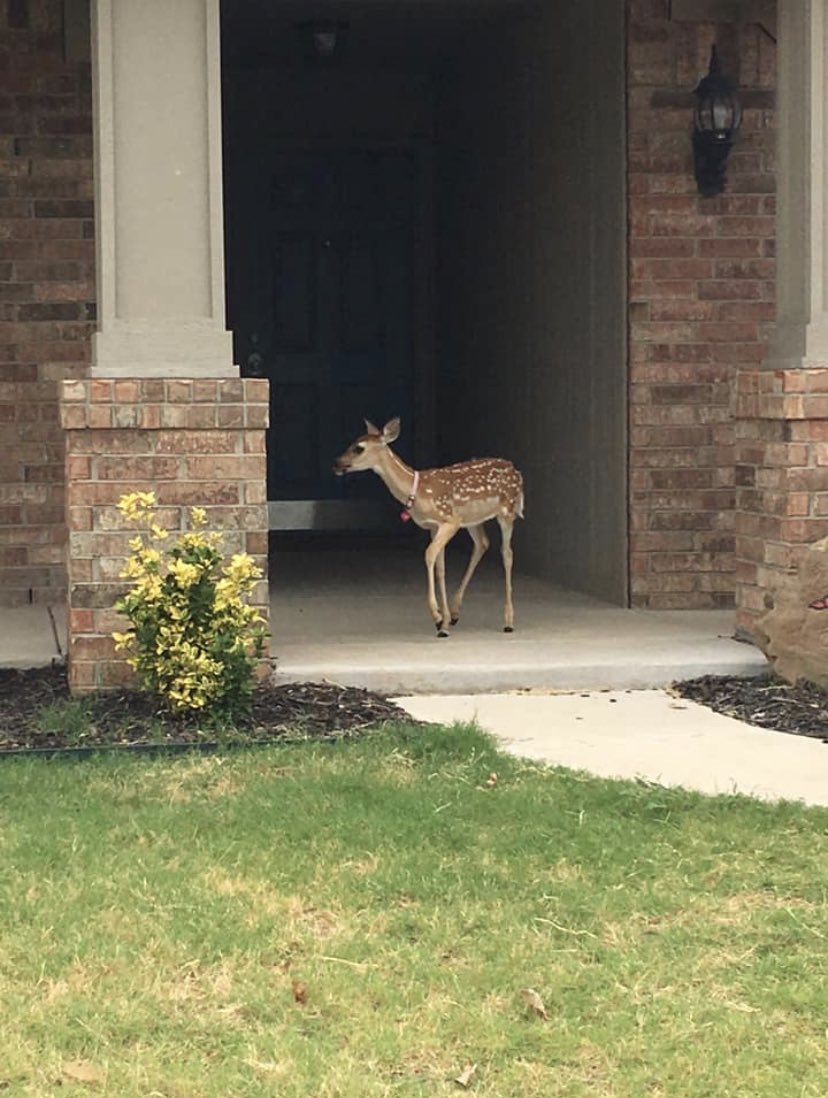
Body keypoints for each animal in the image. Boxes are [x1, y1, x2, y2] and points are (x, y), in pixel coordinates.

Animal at [333, 417, 524, 637]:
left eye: (359, 448)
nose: (336, 463)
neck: (417, 491)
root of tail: (516, 471)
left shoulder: (450, 521)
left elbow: (429, 554)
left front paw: (438, 617)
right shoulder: (435, 526)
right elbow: (440, 567)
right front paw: (444, 621)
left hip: (507, 511)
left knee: (507, 553)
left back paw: (508, 621)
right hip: (474, 519)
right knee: (482, 543)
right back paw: (456, 612)